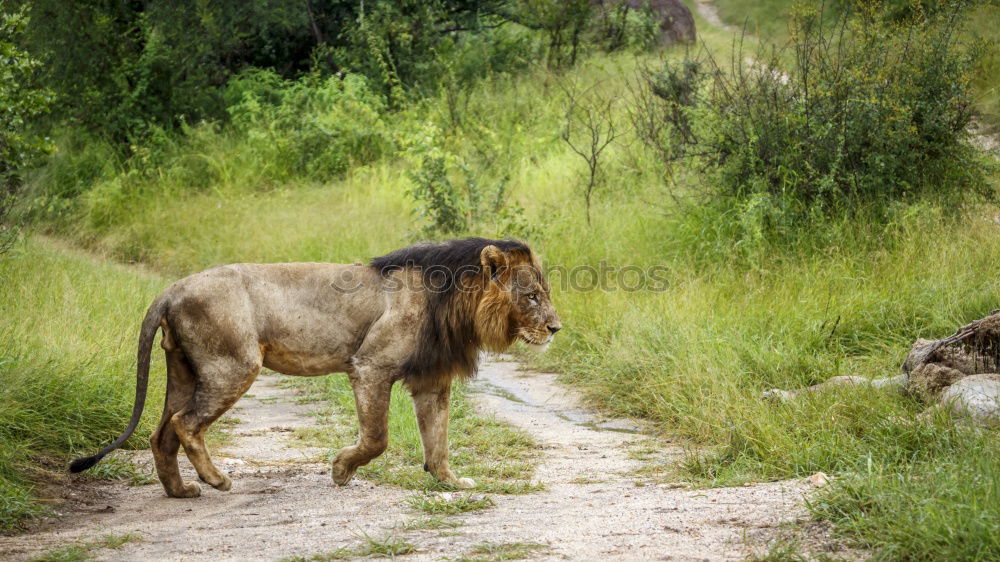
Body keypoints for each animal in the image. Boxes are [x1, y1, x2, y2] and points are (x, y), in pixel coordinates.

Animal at [70, 236, 564, 494]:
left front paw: (452, 483)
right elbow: (378, 439)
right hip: (233, 366)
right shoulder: (370, 366)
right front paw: (341, 470)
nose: (556, 328)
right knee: (185, 423)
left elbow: (438, 440)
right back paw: (216, 480)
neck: (453, 302)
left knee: (161, 433)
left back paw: (180, 491)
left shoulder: (431, 380)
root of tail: (170, 289)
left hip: (183, 370)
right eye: (532, 296)